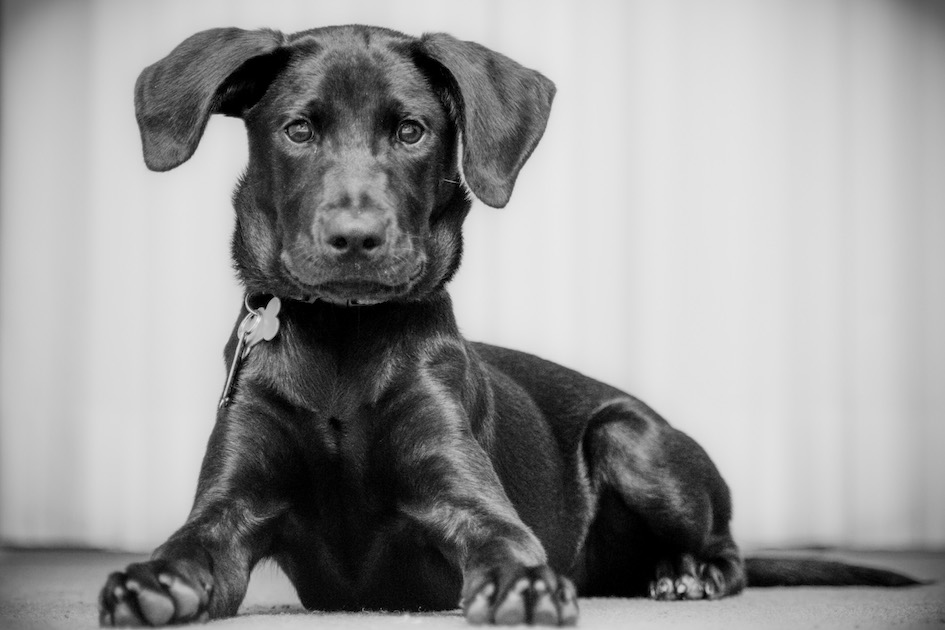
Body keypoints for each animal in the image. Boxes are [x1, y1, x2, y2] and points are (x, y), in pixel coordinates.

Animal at [99, 23, 920, 628]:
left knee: (730, 548)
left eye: (411, 132)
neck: (343, 344)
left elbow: (503, 538)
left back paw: (689, 574)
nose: (356, 238)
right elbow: (193, 544)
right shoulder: (232, 505)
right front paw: (151, 581)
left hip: (631, 438)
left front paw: (526, 583)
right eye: (298, 130)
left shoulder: (461, 494)